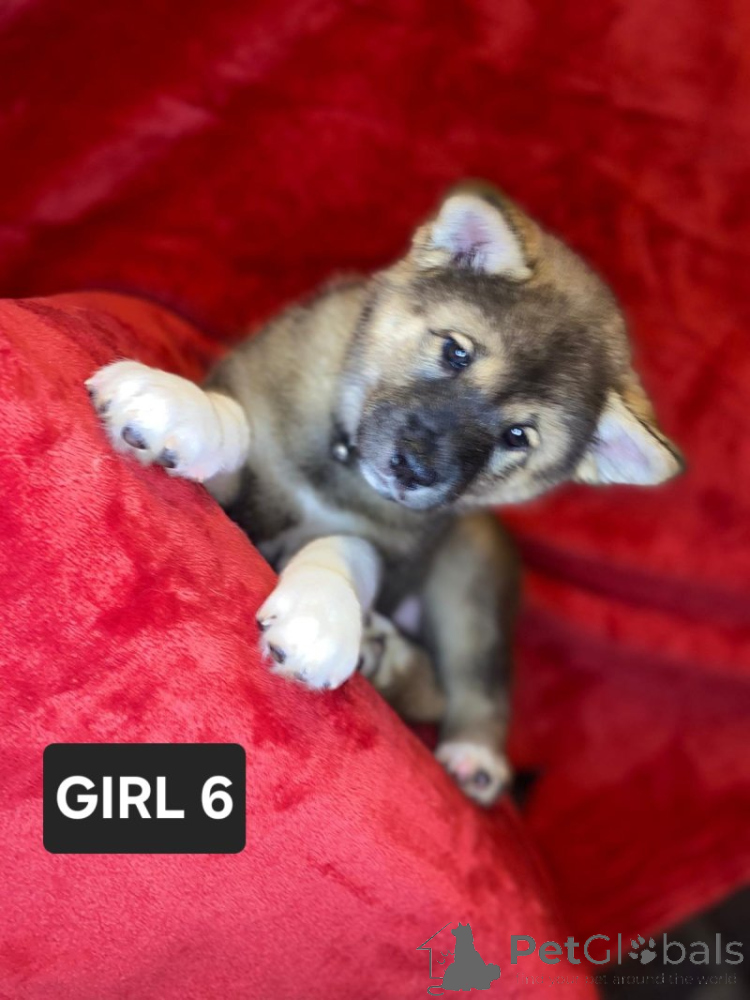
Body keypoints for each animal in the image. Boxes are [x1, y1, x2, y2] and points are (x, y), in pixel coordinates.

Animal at [86, 182, 682, 805]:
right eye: (456, 352)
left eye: (517, 436)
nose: (416, 469)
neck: (341, 472)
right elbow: (238, 423)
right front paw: (176, 406)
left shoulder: (399, 558)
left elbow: (350, 548)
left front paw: (323, 610)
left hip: (469, 578)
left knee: (462, 686)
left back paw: (463, 743)